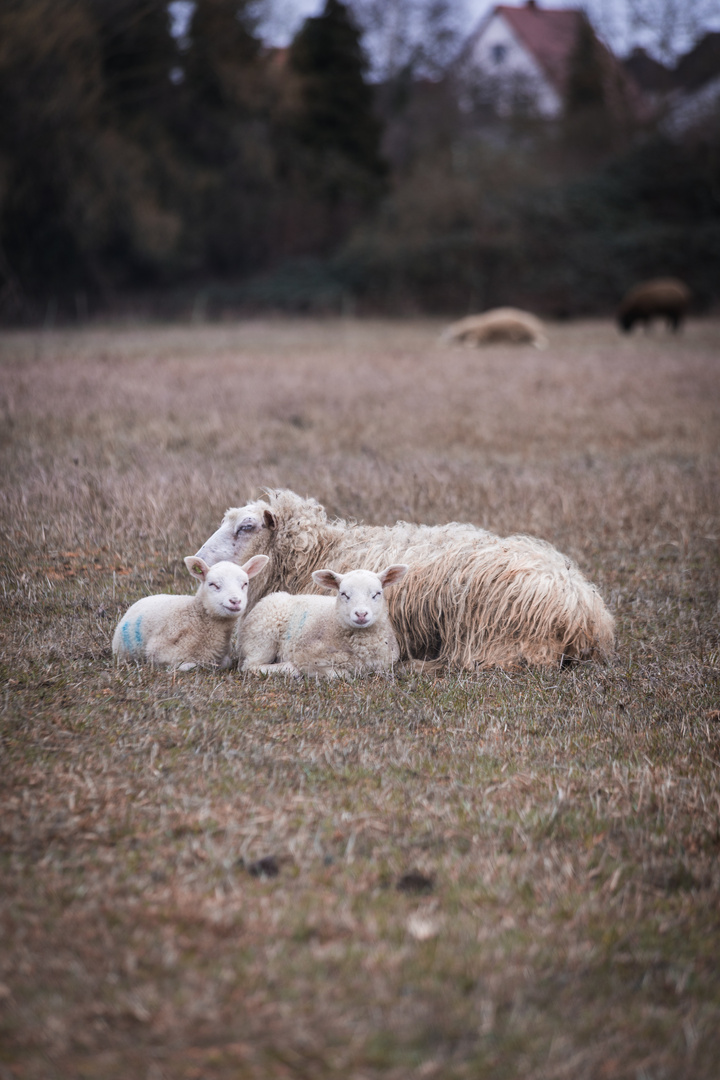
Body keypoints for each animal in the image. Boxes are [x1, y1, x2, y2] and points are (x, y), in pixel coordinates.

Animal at [240, 561, 408, 678]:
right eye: (343, 594)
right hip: (262, 638)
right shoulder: (306, 658)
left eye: (377, 593)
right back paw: (290, 669)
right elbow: (340, 674)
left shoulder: (384, 664)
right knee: (251, 666)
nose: (361, 614)